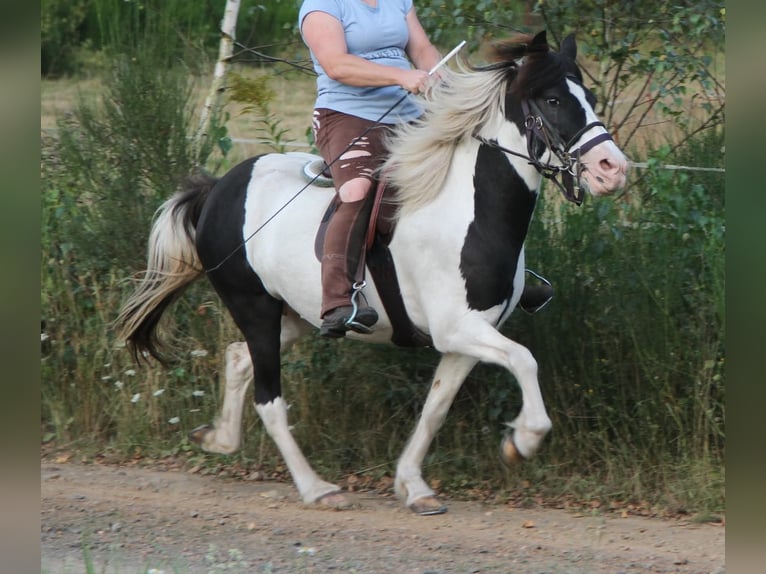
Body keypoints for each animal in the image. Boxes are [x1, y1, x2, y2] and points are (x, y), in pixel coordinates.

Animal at [116, 31, 628, 515]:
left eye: (588, 97)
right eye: (553, 100)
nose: (613, 169)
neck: (465, 210)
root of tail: (219, 187)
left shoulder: (468, 336)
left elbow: (435, 409)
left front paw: (414, 487)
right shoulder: (457, 329)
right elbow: (525, 361)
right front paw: (522, 441)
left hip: (295, 317)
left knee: (238, 358)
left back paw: (218, 438)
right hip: (255, 309)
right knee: (269, 399)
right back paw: (317, 489)